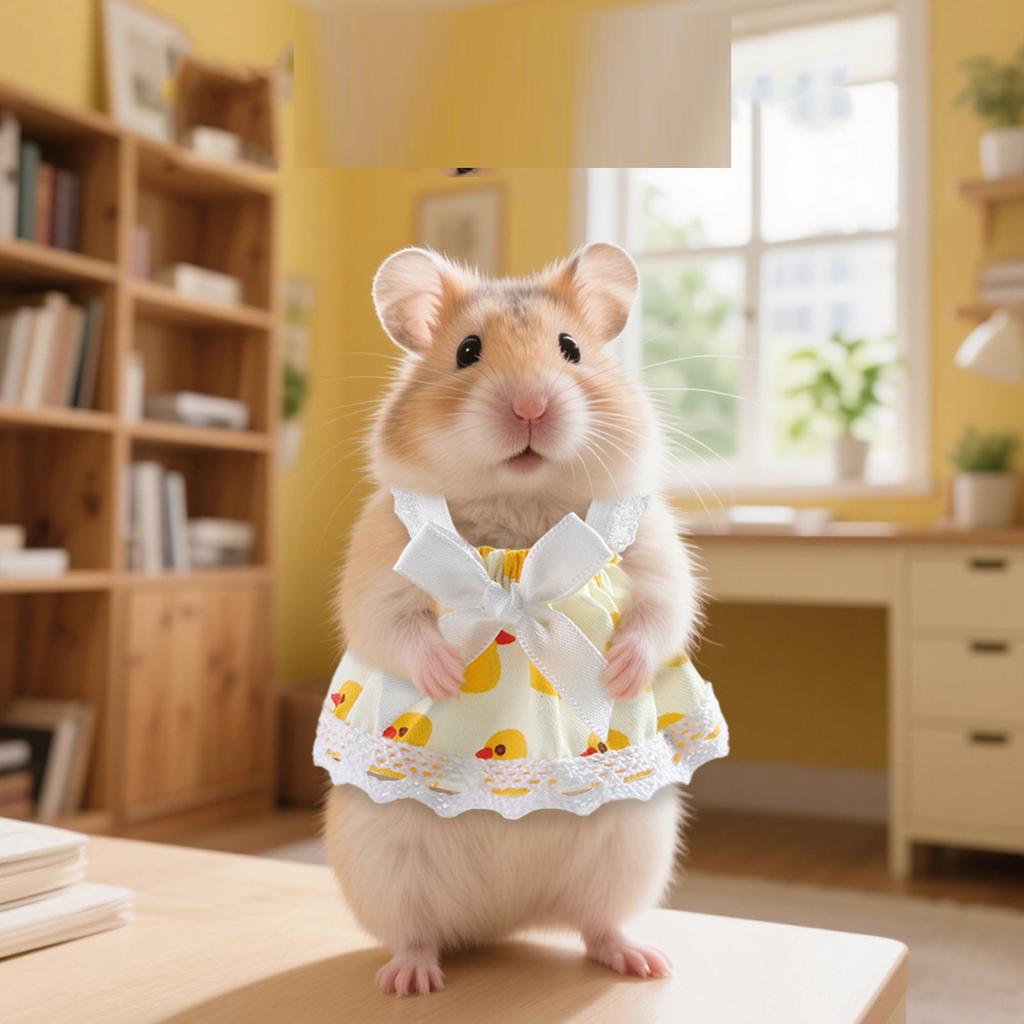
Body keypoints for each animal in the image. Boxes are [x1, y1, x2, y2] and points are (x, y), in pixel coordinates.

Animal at [324, 242, 701, 996]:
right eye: (467, 351)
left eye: (571, 348)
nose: (530, 405)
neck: (522, 507)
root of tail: (503, 921)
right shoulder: (380, 560)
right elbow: (391, 625)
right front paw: (445, 674)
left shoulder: (654, 549)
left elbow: (660, 614)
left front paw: (618, 675)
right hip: (385, 865)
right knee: (416, 933)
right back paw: (411, 980)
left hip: (633, 850)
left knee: (598, 924)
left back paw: (643, 962)